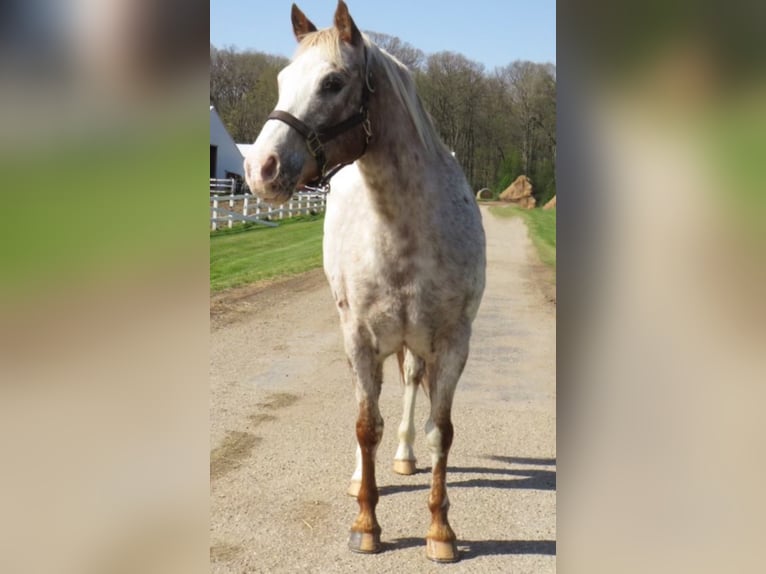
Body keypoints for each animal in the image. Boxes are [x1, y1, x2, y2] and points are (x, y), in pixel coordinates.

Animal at [246, 2, 486, 564]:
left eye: (333, 82)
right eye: (283, 78)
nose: (259, 169)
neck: (402, 229)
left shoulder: (453, 342)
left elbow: (441, 432)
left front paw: (440, 531)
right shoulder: (359, 337)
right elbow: (364, 424)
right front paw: (366, 523)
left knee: (409, 387)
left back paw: (403, 454)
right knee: (370, 405)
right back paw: (361, 477)